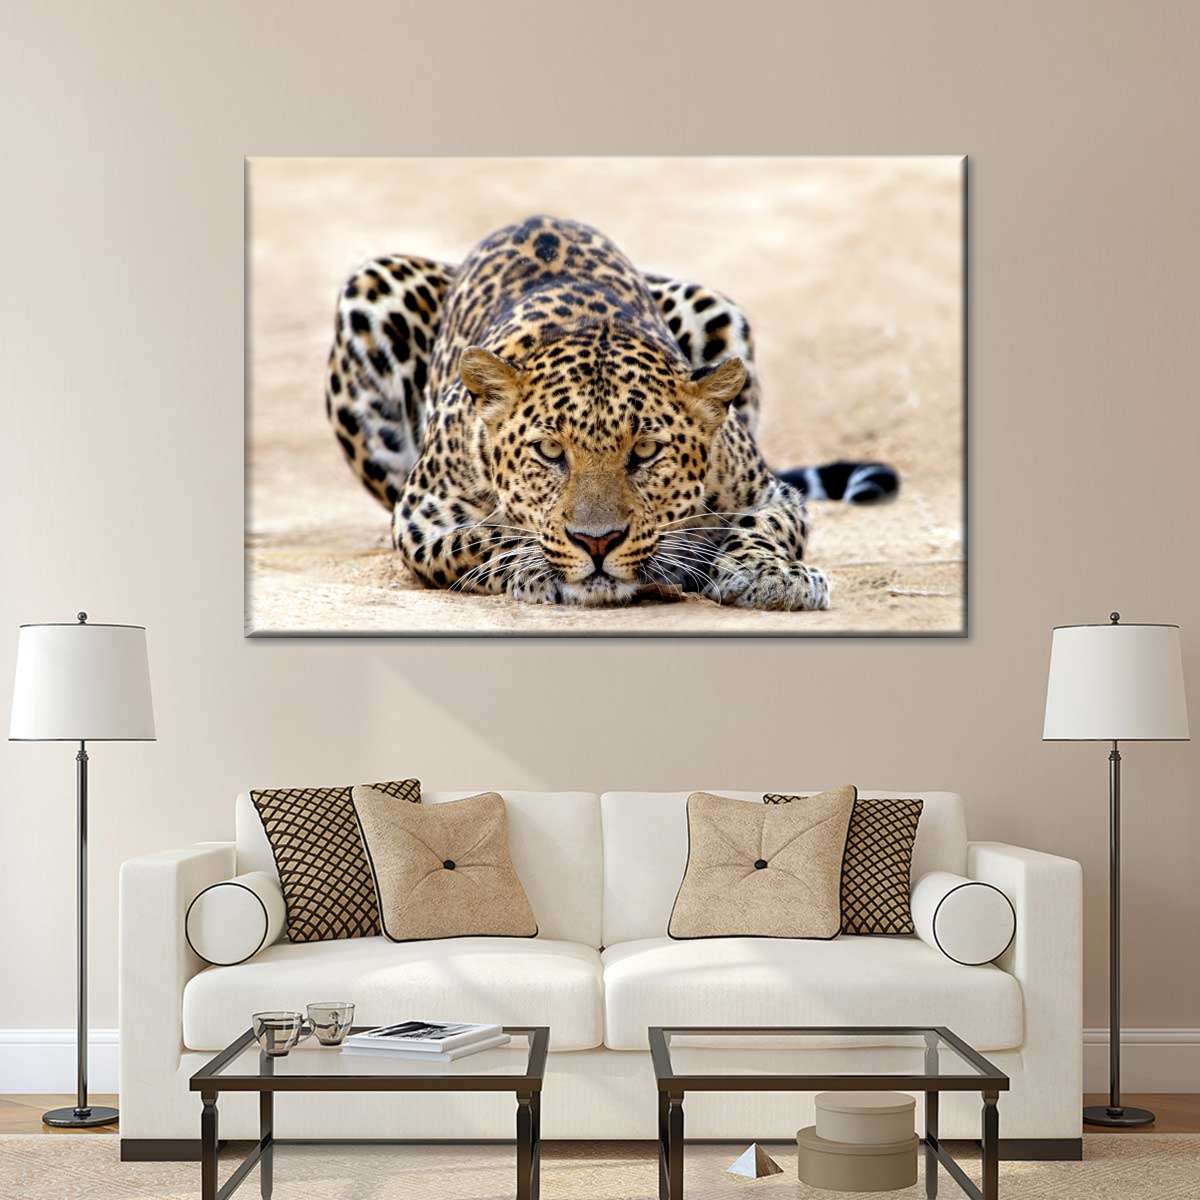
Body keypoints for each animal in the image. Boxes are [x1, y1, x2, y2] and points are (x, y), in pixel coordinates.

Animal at [324, 215, 898, 610]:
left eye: (645, 452)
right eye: (549, 452)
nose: (596, 542)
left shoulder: (770, 492)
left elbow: (762, 525)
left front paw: (771, 575)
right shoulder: (421, 517)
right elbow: (486, 537)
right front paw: (535, 566)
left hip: (712, 304)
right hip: (371, 287)